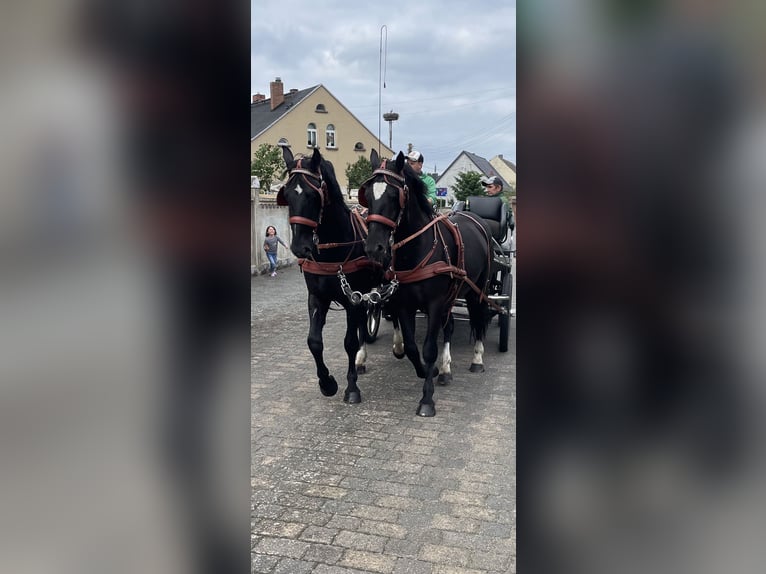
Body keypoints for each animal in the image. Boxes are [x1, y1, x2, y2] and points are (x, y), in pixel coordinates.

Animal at [278, 146, 382, 402]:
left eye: (313, 195)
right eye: (287, 194)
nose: (300, 247)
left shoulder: (353, 299)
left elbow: (349, 342)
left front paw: (351, 387)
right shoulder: (318, 298)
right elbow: (314, 341)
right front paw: (327, 383)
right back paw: (361, 360)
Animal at [360, 151, 492, 416]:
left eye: (394, 195)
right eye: (367, 194)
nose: (373, 248)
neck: (418, 248)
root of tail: (475, 218)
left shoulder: (435, 303)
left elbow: (429, 348)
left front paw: (427, 400)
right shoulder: (404, 304)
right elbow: (412, 347)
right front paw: (429, 371)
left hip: (477, 290)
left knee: (479, 318)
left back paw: (477, 359)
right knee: (450, 326)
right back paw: (446, 370)